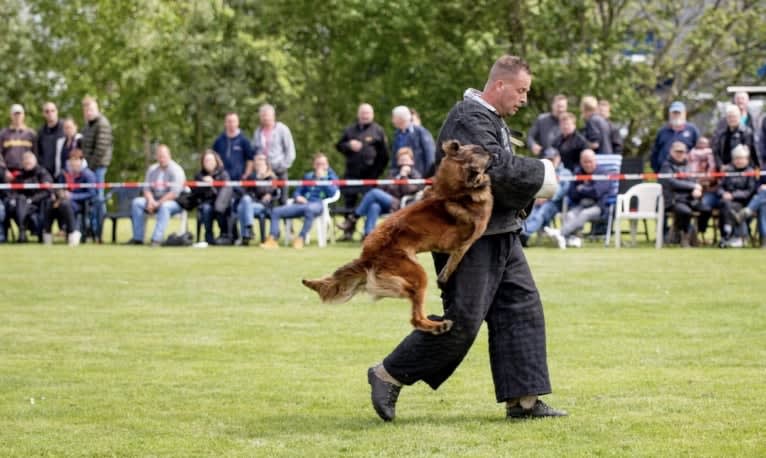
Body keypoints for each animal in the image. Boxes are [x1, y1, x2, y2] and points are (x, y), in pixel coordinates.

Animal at [300, 138, 492, 334]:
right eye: (478, 151)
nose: (491, 152)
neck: (454, 191)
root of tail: (367, 256)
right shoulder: (466, 242)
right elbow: (454, 261)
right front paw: (445, 277)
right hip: (417, 272)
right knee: (415, 315)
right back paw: (435, 322)